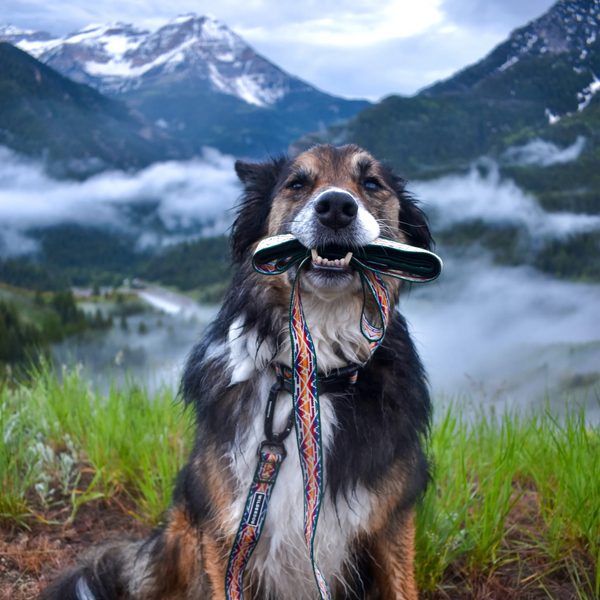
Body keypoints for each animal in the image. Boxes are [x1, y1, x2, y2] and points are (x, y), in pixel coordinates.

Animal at [43, 144, 436, 600]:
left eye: (371, 184)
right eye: (297, 183)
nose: (337, 207)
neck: (311, 378)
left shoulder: (391, 520)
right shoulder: (224, 528)